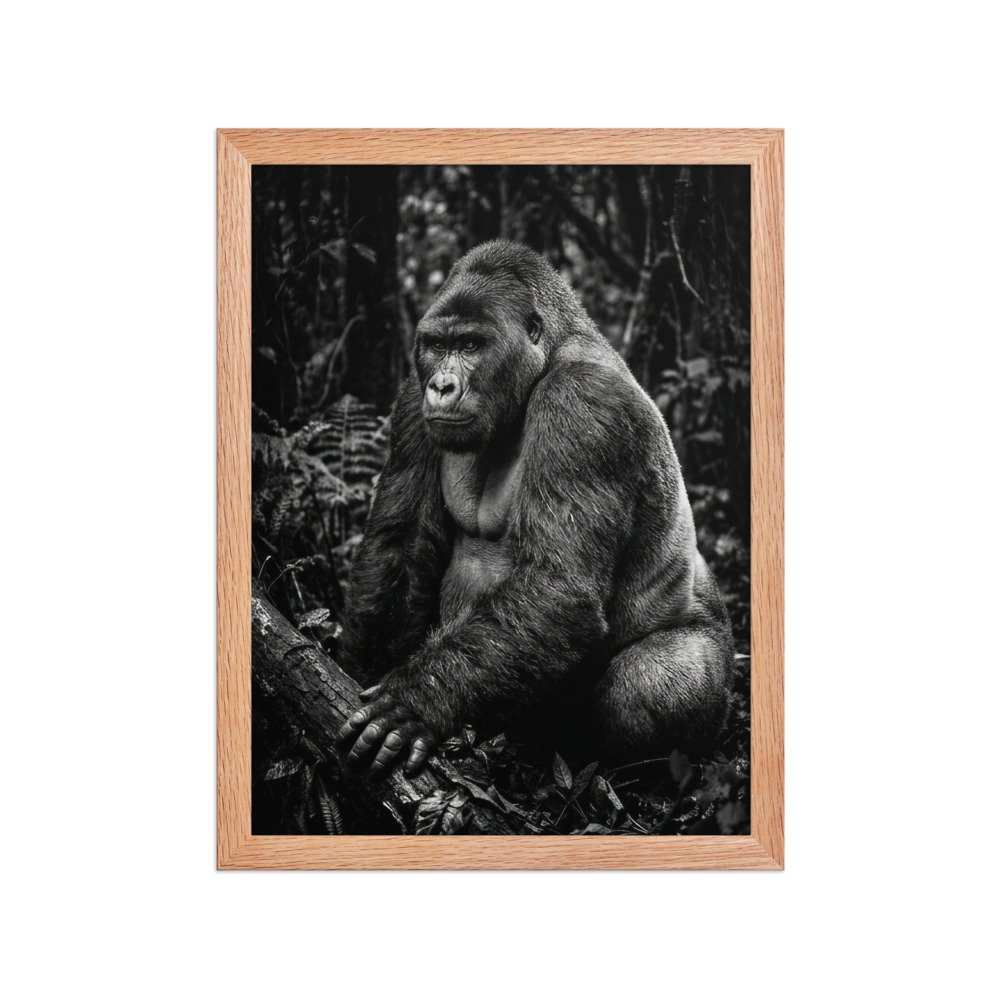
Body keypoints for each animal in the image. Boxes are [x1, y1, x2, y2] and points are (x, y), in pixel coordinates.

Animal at [336, 240, 734, 778]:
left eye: (470, 346)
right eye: (437, 345)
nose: (441, 386)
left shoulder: (584, 404)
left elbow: (558, 584)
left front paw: (418, 697)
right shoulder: (410, 399)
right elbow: (400, 544)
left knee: (652, 683)